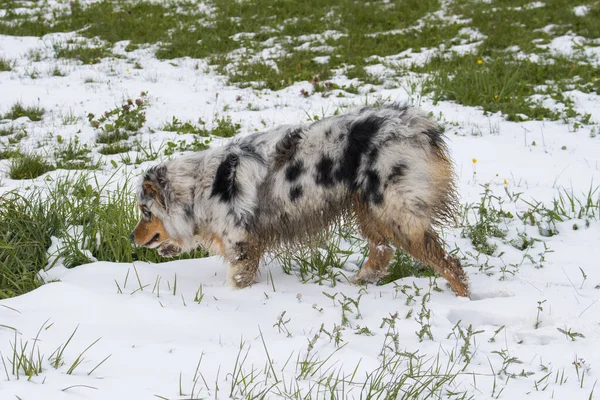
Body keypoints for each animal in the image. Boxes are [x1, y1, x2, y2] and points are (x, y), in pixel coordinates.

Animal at [130, 103, 468, 296]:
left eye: (145, 212)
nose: (132, 238)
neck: (199, 187)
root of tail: (418, 124)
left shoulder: (241, 243)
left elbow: (238, 279)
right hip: (368, 208)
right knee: (382, 253)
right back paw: (355, 284)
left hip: (394, 209)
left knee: (448, 263)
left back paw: (463, 296)